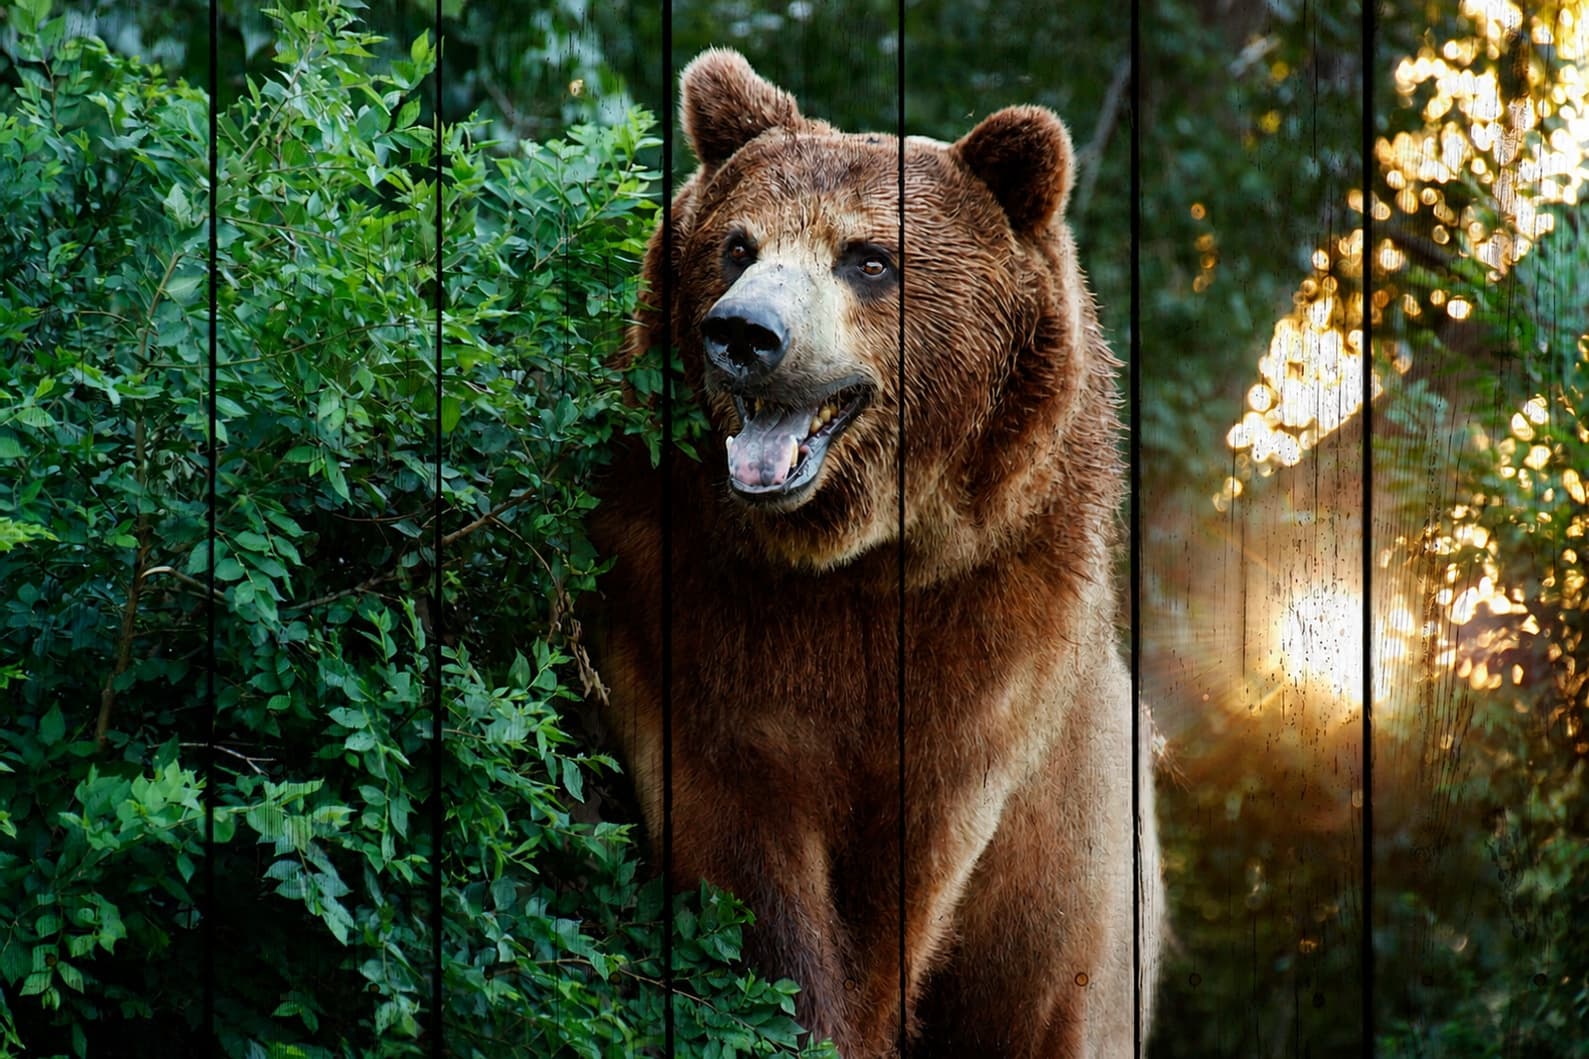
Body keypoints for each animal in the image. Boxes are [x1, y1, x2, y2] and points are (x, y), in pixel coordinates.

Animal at [590, 48, 1163, 1058]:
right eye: (737, 245)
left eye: (868, 258)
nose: (744, 333)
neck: (859, 560)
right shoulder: (692, 606)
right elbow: (740, 837)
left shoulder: (985, 648)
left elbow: (902, 876)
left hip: (1077, 912)